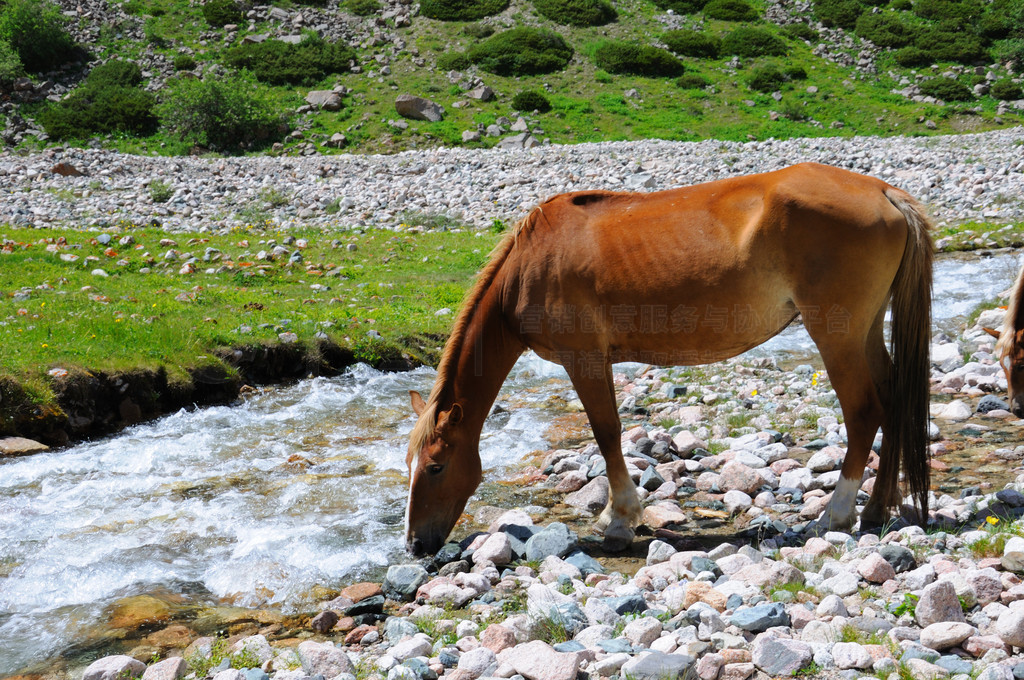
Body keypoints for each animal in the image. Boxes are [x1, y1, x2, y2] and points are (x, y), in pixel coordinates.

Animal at [403, 161, 933, 557]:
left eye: (436, 467)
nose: (414, 546)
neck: (530, 266)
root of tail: (884, 192)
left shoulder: (584, 359)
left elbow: (607, 432)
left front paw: (620, 521)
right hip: (865, 330)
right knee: (893, 400)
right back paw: (876, 510)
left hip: (836, 334)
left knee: (864, 411)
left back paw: (837, 515)